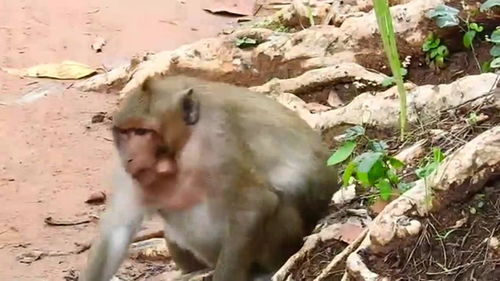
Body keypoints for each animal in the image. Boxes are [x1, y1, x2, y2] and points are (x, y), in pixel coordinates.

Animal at [80, 75, 340, 280]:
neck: (182, 147)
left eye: (143, 132)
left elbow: (255, 204)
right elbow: (116, 230)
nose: (131, 158)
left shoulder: (217, 143)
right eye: (125, 133)